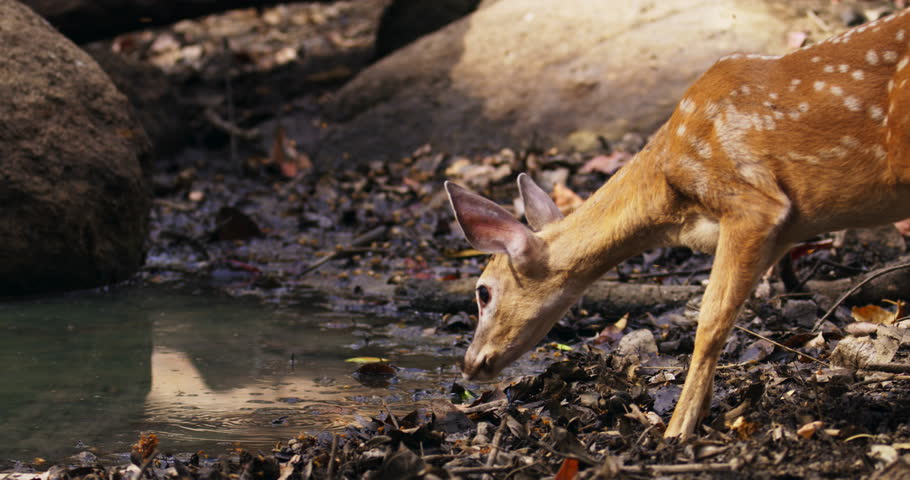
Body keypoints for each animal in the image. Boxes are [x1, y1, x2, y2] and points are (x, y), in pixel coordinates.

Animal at [445, 8, 910, 439]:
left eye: (483, 292)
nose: (469, 363)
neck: (672, 203)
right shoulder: (779, 232)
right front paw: (708, 414)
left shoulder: (753, 203)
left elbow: (710, 321)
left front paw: (675, 432)